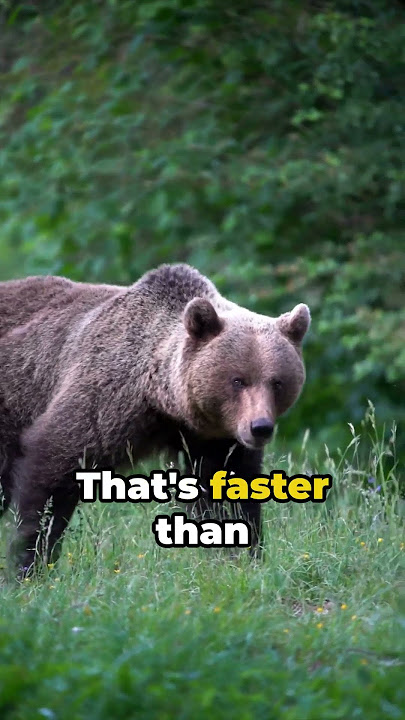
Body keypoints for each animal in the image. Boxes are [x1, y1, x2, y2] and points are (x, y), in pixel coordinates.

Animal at [0, 263, 310, 574]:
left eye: (277, 382)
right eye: (238, 380)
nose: (260, 428)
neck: (162, 401)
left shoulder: (211, 437)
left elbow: (227, 490)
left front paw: (241, 556)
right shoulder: (104, 398)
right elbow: (53, 467)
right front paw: (29, 563)